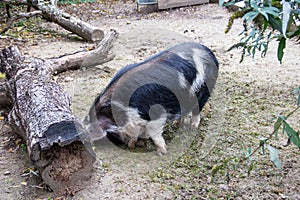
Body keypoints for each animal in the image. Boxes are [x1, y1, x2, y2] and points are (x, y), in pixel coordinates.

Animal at [83, 41, 219, 155]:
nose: (86, 139)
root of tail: (208, 51)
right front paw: (136, 143)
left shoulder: (156, 114)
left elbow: (154, 133)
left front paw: (162, 152)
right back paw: (178, 123)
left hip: (204, 88)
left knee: (198, 108)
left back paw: (193, 127)